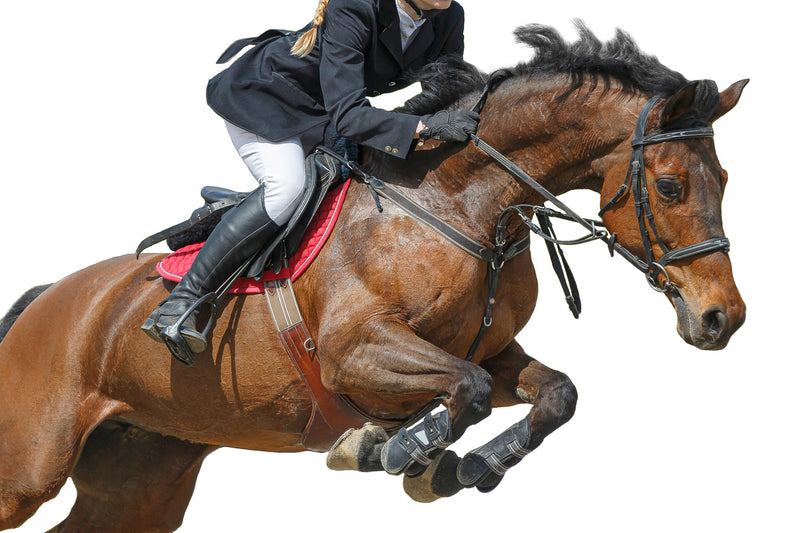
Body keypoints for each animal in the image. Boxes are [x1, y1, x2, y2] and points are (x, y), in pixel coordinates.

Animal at [0, 24, 746, 532]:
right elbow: (466, 392)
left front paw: (460, 466)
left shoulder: (489, 350)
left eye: (725, 178)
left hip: (142, 477)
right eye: (672, 185)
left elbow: (554, 394)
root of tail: (43, 300)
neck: (460, 202)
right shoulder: (355, 352)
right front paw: (386, 449)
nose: (723, 318)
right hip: (29, 467)